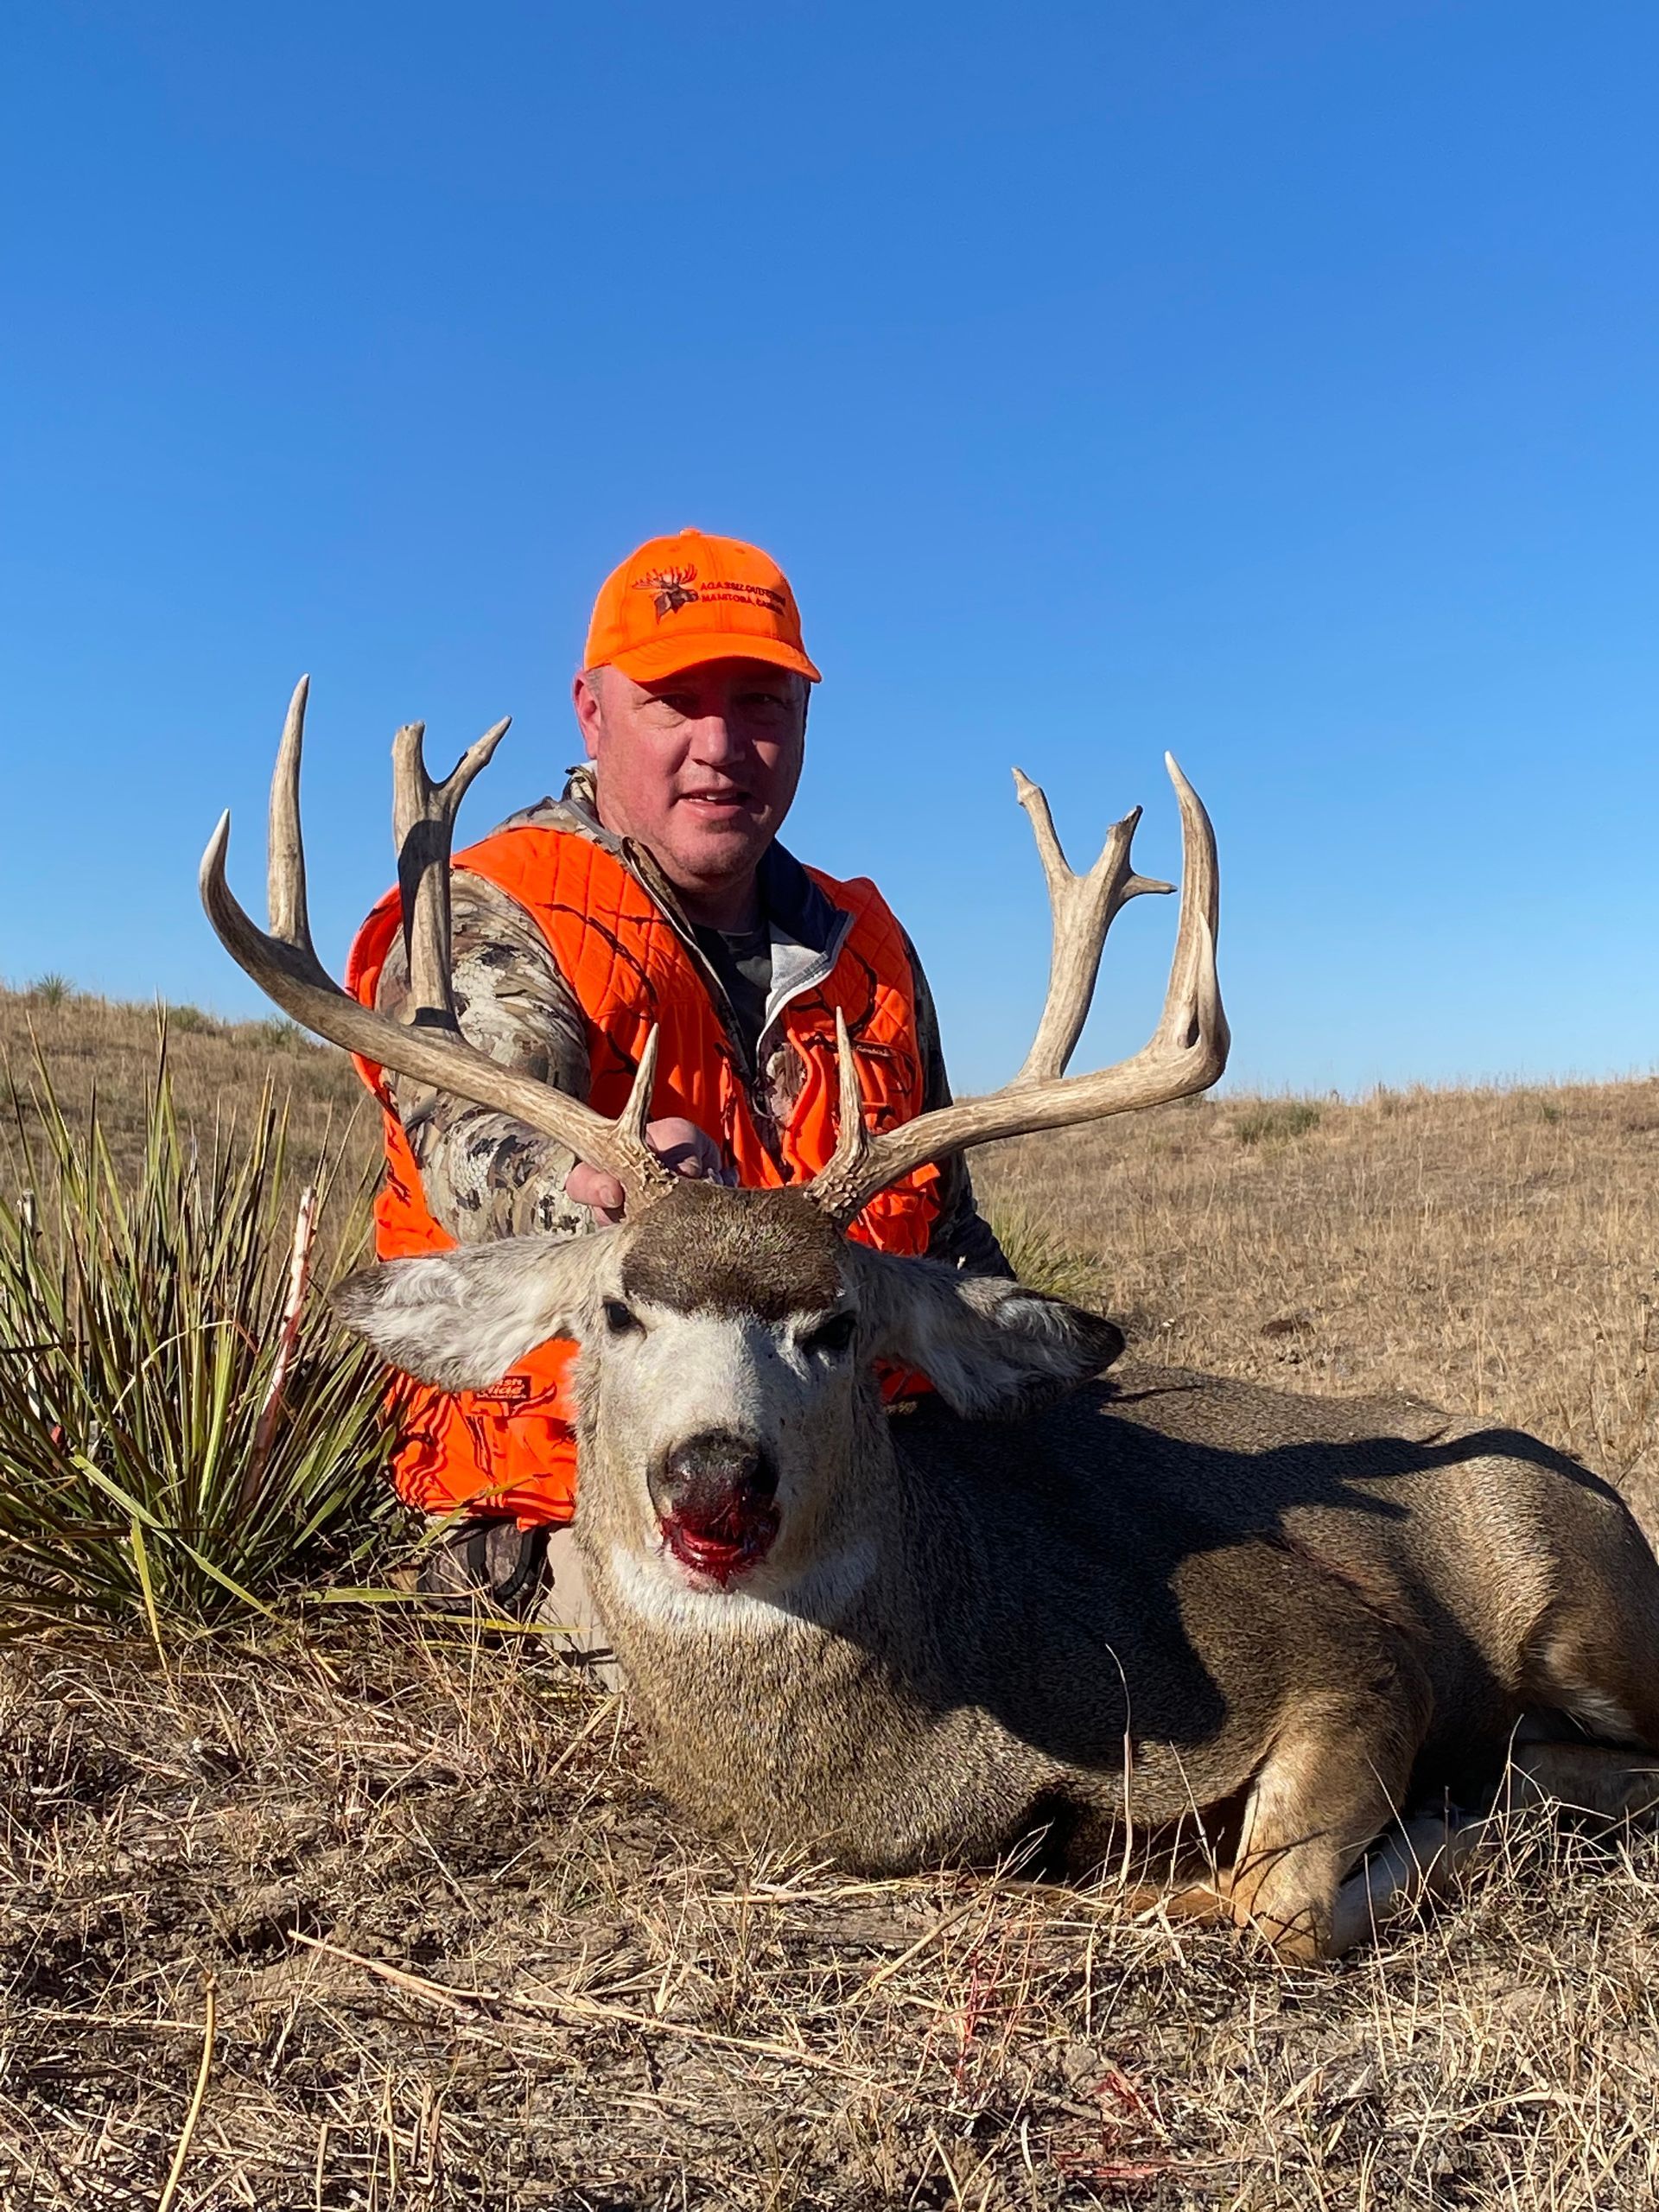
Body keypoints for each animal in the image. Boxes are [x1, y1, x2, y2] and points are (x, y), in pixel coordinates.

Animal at [200, 681, 1659, 1959]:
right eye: (616, 1311)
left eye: (838, 1325)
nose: (714, 1477)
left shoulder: (1339, 1647)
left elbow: (1273, 1899)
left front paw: (1403, 1832)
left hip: (1568, 1590)